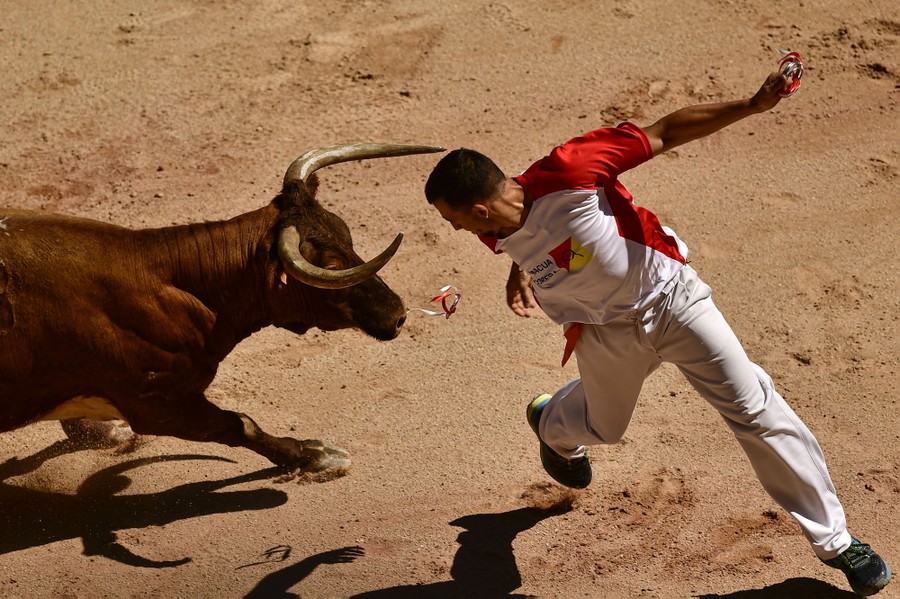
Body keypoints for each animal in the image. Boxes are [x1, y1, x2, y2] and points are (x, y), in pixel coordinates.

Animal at [0, 143, 442, 475]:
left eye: (348, 236)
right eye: (331, 268)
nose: (398, 313)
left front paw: (107, 432)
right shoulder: (162, 404)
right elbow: (240, 424)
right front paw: (316, 456)